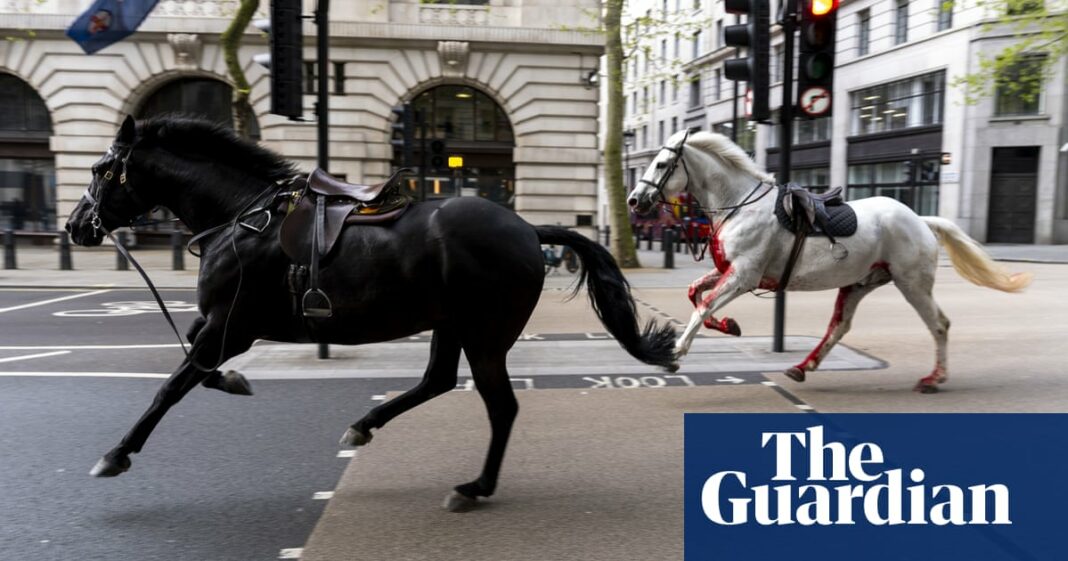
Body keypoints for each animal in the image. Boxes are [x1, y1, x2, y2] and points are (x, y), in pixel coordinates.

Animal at [64, 115, 674, 508]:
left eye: (100, 169)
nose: (73, 227)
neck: (242, 217)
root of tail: (527, 228)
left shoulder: (232, 325)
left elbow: (173, 384)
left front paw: (116, 453)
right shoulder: (220, 325)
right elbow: (196, 362)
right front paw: (236, 381)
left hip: (484, 334)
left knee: (500, 406)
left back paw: (474, 488)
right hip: (451, 325)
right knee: (437, 381)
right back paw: (365, 426)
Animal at [627, 130, 1029, 393]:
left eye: (662, 164)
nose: (633, 200)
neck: (739, 205)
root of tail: (920, 219)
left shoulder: (743, 276)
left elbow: (703, 306)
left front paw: (675, 352)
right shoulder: (730, 271)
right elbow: (696, 294)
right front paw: (729, 325)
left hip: (912, 283)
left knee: (939, 324)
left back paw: (934, 378)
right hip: (859, 283)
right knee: (839, 327)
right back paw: (803, 367)